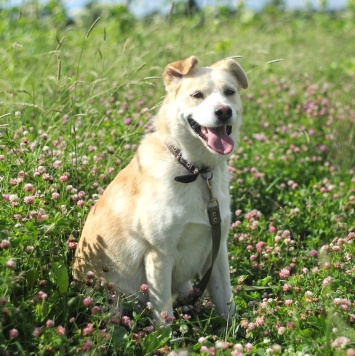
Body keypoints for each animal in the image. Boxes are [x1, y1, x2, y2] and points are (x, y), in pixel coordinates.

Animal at [73, 55, 249, 320]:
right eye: (197, 95)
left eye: (230, 92)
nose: (224, 111)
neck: (194, 170)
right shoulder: (159, 255)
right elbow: (164, 317)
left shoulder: (217, 252)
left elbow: (226, 303)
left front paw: (232, 330)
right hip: (113, 299)